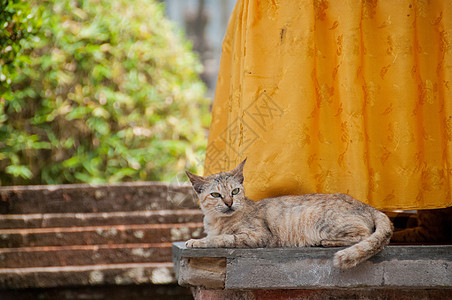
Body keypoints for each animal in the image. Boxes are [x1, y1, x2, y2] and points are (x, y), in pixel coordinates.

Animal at [185, 159, 394, 270]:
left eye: (235, 191)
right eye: (216, 194)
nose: (229, 202)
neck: (216, 221)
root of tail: (367, 206)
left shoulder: (257, 236)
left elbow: (221, 238)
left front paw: (196, 241)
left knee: (365, 235)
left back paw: (325, 242)